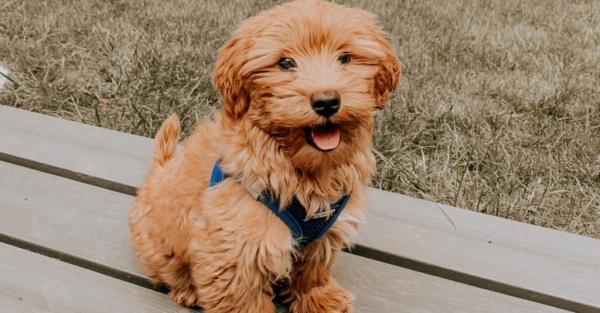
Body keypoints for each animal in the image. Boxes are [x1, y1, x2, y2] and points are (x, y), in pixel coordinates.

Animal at [130, 1, 404, 310]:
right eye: (285, 63)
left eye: (345, 57)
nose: (327, 102)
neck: (303, 169)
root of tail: (157, 172)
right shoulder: (236, 247)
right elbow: (244, 300)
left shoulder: (324, 234)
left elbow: (314, 269)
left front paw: (320, 299)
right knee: (166, 269)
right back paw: (186, 289)